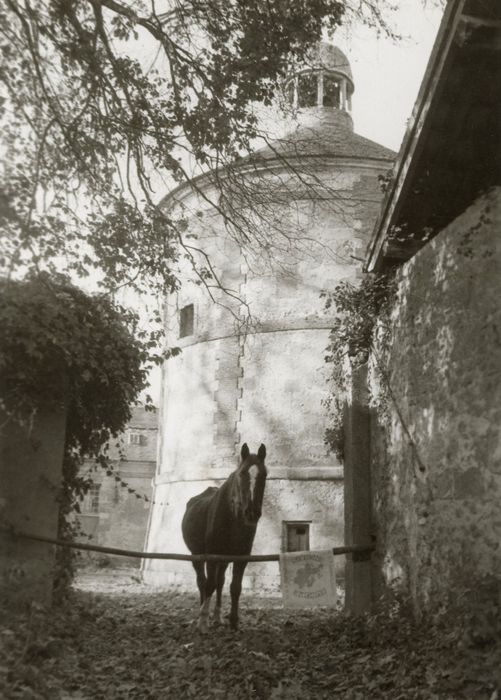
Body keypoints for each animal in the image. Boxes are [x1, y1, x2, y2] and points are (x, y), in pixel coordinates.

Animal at [180, 442, 266, 636]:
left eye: (264, 474)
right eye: (242, 473)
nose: (251, 513)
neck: (233, 517)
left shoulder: (241, 558)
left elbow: (235, 587)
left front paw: (233, 621)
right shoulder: (212, 557)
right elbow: (209, 584)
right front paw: (203, 621)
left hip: (224, 560)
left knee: (220, 583)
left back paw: (217, 617)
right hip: (197, 556)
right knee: (203, 582)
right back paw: (202, 613)